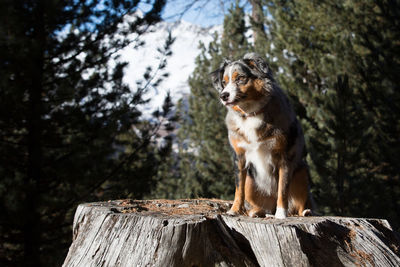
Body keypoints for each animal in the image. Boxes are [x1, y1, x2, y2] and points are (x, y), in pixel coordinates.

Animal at [211, 52, 314, 220]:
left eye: (240, 78)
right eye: (224, 82)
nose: (223, 95)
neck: (251, 113)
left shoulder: (285, 157)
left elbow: (282, 190)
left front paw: (281, 214)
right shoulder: (239, 157)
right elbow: (238, 189)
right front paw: (234, 210)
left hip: (302, 173)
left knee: (298, 204)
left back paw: (303, 212)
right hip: (251, 182)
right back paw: (256, 212)